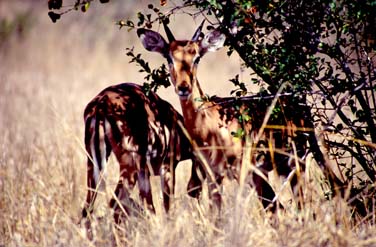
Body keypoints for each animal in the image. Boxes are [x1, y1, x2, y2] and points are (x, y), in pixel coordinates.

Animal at [81, 82, 194, 222]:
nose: (192, 191)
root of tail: (101, 105)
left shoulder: (144, 173)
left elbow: (149, 206)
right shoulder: (167, 168)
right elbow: (167, 206)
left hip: (95, 165)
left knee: (88, 208)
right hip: (129, 167)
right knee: (115, 203)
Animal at [138, 21, 308, 212]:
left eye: (197, 57)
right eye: (169, 57)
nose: (183, 87)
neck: (211, 126)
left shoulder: (241, 173)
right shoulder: (213, 177)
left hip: (292, 166)